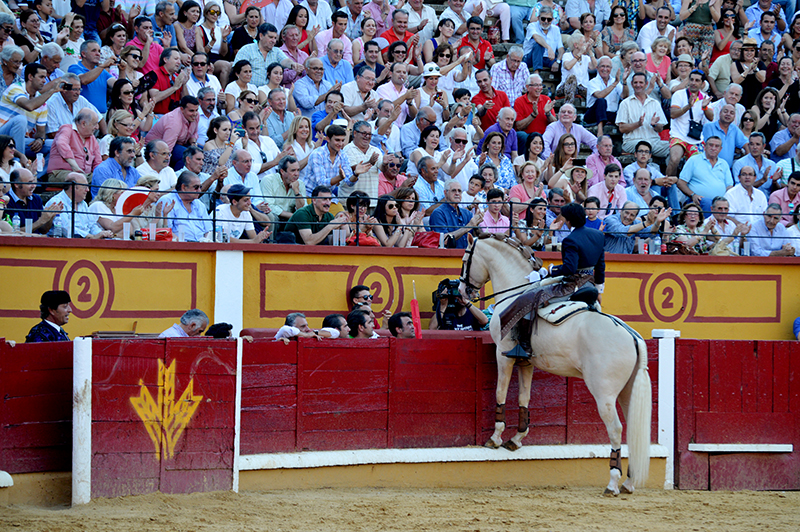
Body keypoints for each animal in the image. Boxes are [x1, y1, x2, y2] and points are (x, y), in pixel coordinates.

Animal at [460, 235, 652, 496]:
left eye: (465, 259)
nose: (461, 291)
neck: (516, 289)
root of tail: (632, 336)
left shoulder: (503, 354)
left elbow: (500, 392)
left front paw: (495, 438)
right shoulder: (526, 361)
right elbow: (524, 397)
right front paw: (516, 439)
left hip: (604, 393)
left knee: (616, 430)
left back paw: (612, 483)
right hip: (627, 391)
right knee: (633, 429)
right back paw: (629, 482)